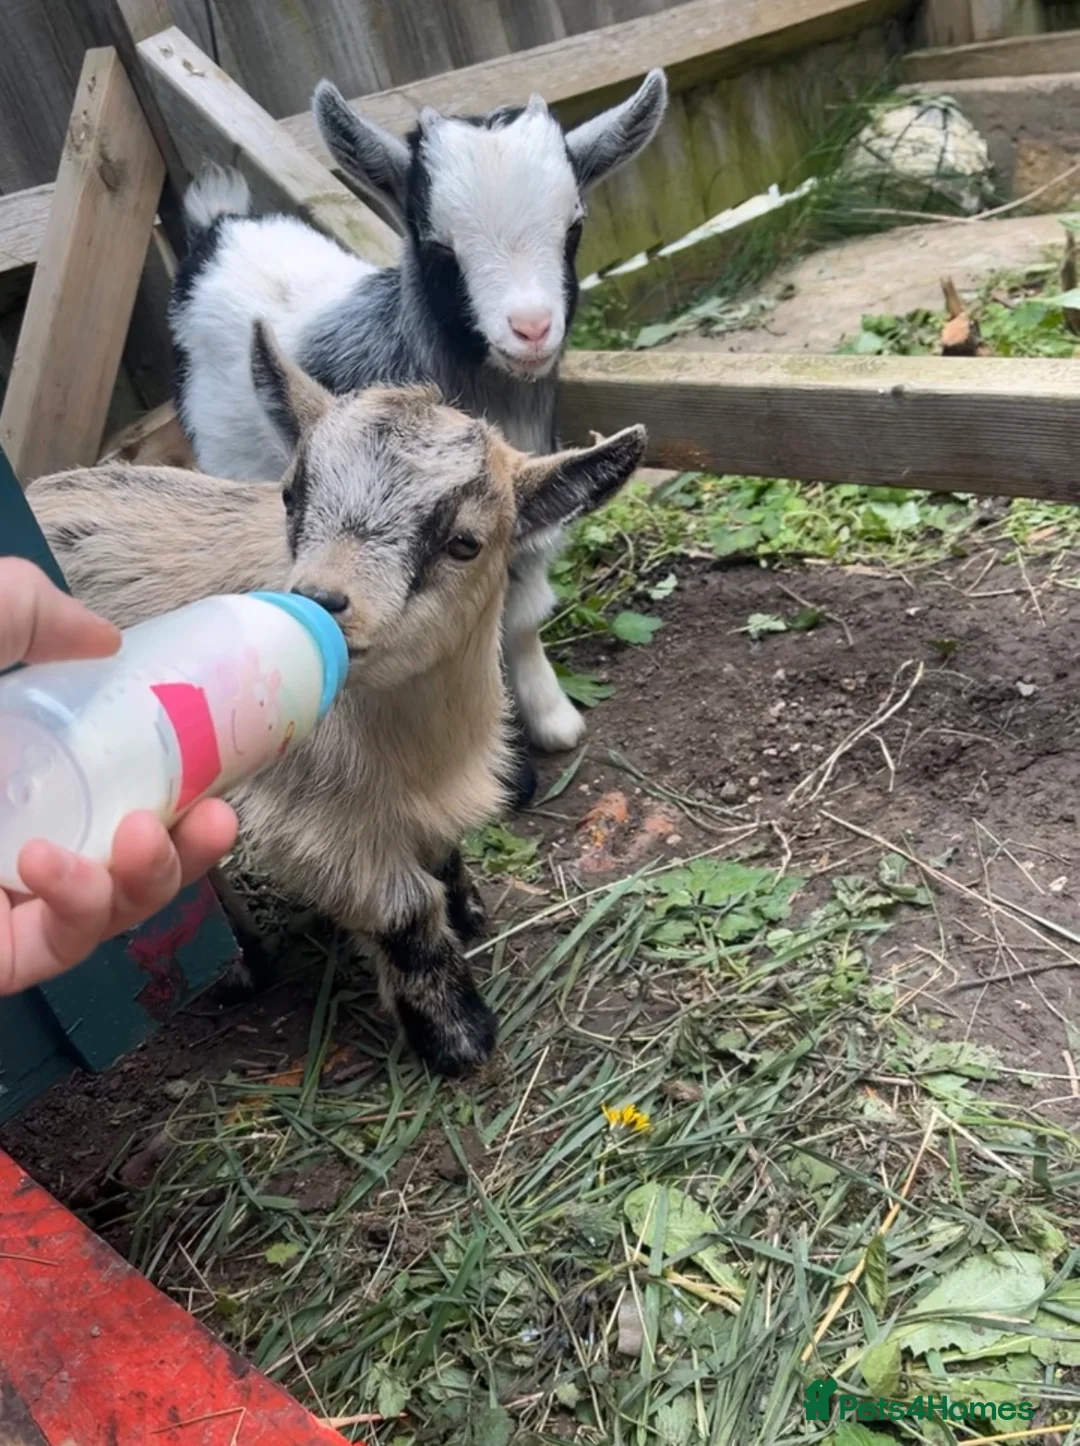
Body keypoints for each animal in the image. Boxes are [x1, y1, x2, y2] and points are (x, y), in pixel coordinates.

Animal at [30, 324, 646, 1076]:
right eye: (291, 496)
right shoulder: (315, 822)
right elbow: (404, 911)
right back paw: (240, 968)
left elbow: (441, 854)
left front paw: (469, 913)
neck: (412, 742)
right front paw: (458, 1037)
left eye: (464, 542)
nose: (318, 601)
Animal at [169, 70, 668, 777]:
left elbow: (520, 617)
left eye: (573, 228)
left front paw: (552, 718)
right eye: (437, 245)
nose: (531, 328)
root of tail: (221, 227)